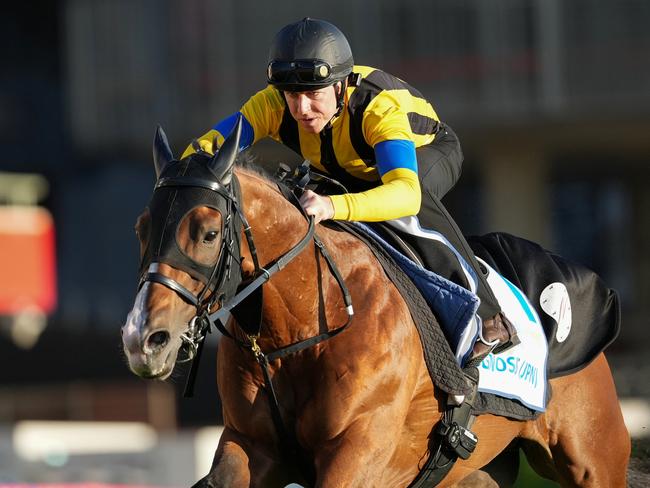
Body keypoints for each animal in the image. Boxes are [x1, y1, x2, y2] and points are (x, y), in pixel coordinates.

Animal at [120, 119, 628, 488]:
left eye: (208, 233)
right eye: (141, 229)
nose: (143, 339)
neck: (301, 330)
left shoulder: (357, 453)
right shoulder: (250, 444)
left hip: (593, 460)